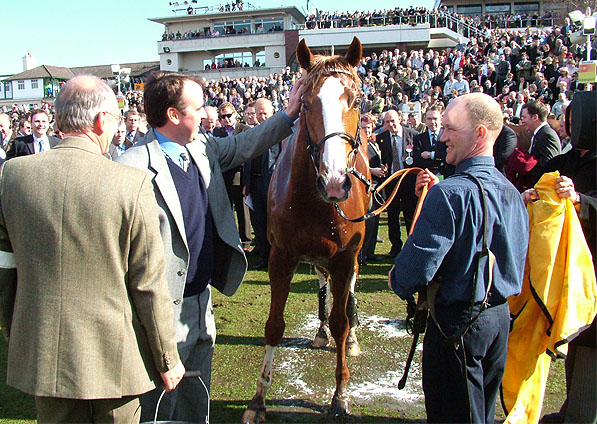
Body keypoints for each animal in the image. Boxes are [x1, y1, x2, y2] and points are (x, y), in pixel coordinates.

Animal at [242, 38, 368, 422]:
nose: (335, 181)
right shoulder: (282, 257)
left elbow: (342, 320)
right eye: (307, 103)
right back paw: (321, 330)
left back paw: (351, 337)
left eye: (356, 100)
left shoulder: (344, 257)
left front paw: (340, 396)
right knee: (322, 284)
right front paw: (258, 399)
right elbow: (274, 325)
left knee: (349, 292)